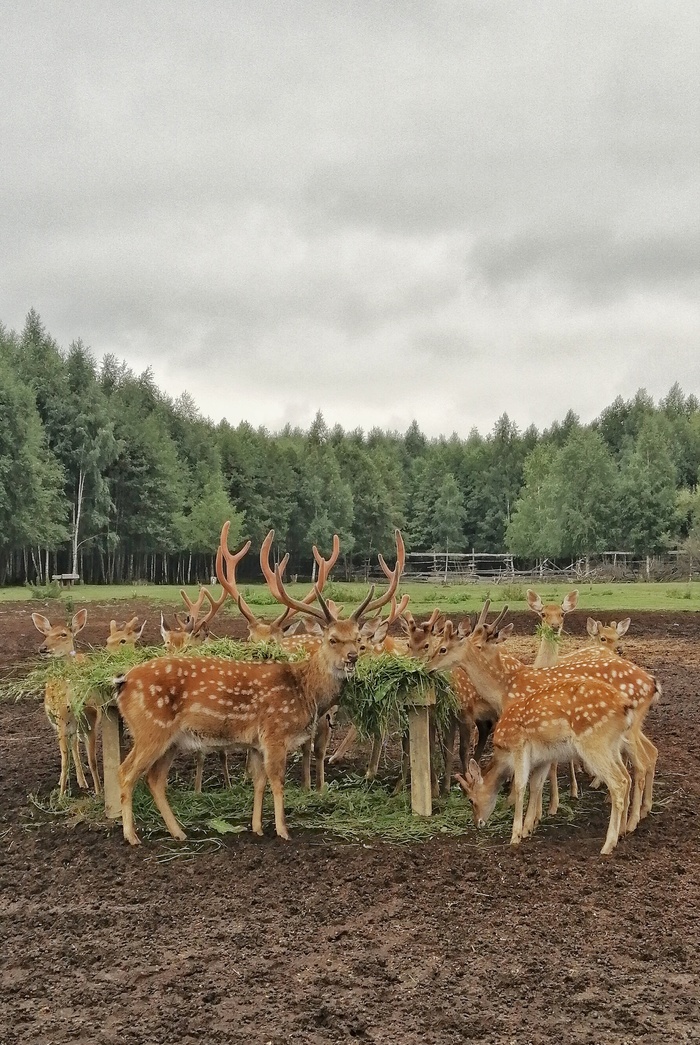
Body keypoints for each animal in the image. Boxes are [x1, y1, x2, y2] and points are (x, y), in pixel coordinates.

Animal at [32, 610, 145, 794]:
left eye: (63, 634)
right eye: (46, 635)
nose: (43, 648)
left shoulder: (90, 721)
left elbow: (92, 760)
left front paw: (99, 791)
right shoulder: (61, 722)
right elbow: (64, 760)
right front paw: (61, 795)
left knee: (74, 745)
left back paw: (82, 781)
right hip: (56, 722)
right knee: (70, 748)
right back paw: (69, 781)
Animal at [114, 526, 405, 844]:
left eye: (357, 639)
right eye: (333, 639)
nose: (352, 657)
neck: (306, 691)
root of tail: (123, 683)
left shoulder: (256, 742)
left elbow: (259, 782)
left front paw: (256, 827)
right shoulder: (275, 733)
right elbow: (277, 782)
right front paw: (282, 830)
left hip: (171, 739)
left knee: (154, 778)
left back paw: (179, 832)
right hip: (151, 730)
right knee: (126, 772)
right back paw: (131, 836)